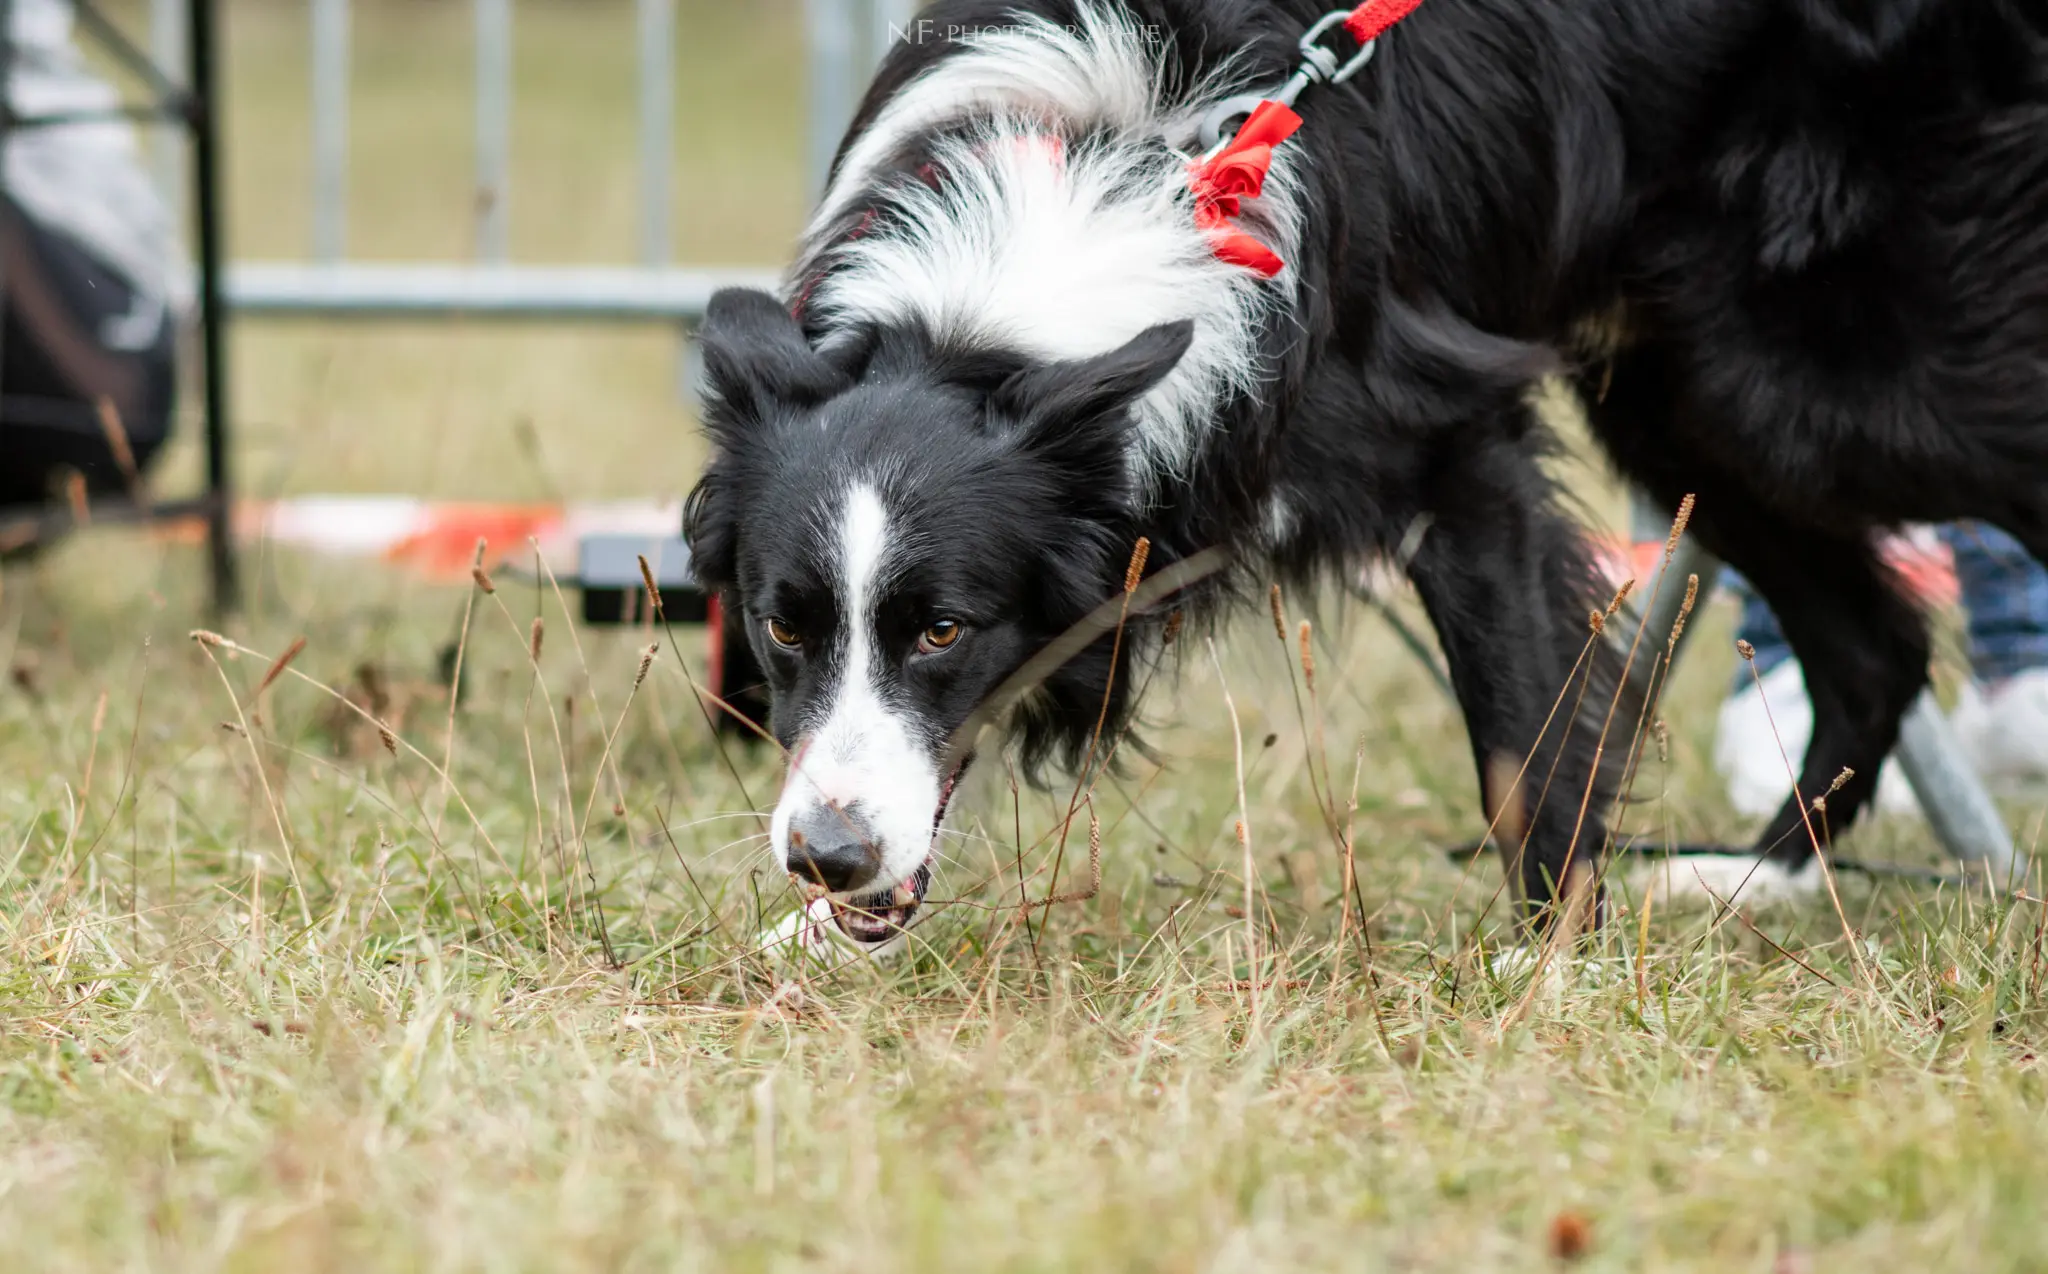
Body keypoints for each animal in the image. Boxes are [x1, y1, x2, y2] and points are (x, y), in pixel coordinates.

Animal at [688, 0, 2048, 958]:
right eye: (779, 624)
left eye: (942, 629)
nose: (824, 857)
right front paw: (816, 930)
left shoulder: (1452, 440)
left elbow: (1517, 739)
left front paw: (1549, 961)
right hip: (1696, 396)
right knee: (1870, 639)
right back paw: (1754, 875)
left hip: (1839, 376)